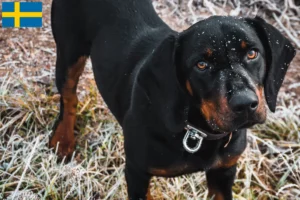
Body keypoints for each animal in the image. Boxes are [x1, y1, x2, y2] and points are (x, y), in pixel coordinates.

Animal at [49, 0, 296, 199]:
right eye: (201, 65)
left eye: (252, 53)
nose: (245, 104)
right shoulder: (137, 172)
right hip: (69, 52)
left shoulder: (224, 172)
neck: (197, 132)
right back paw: (63, 140)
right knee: (69, 96)